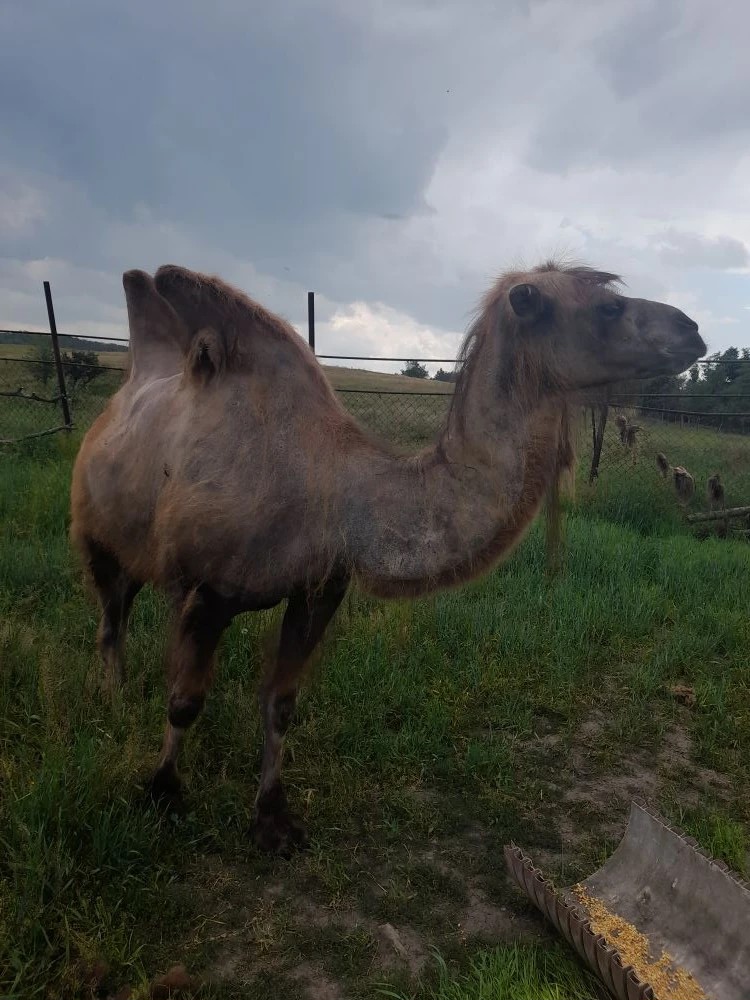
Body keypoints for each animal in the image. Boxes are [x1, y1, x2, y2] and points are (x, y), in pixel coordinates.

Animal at [70, 261, 705, 854]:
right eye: (608, 307)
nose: (694, 329)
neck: (335, 491)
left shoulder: (319, 588)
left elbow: (280, 703)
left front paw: (273, 818)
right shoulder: (212, 590)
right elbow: (185, 702)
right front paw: (161, 794)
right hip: (95, 535)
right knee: (109, 617)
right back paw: (112, 702)